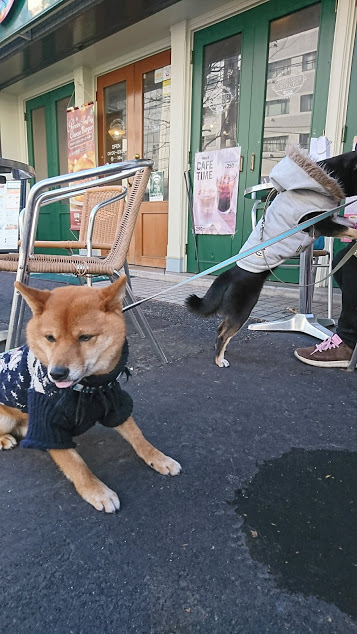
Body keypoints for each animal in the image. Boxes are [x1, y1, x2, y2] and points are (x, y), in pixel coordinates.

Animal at [0, 274, 179, 512]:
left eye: (85, 337)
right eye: (50, 338)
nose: (57, 374)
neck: (88, 388)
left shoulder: (114, 404)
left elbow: (139, 437)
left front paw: (158, 458)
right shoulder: (47, 424)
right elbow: (77, 465)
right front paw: (97, 491)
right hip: (5, 418)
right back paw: (4, 439)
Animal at [185, 145, 356, 366]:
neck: (322, 179)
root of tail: (230, 273)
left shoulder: (330, 220)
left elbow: (347, 224)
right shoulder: (320, 222)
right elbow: (348, 229)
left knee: (221, 329)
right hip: (243, 308)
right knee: (223, 333)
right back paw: (219, 359)